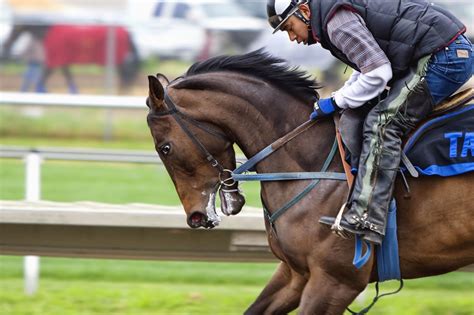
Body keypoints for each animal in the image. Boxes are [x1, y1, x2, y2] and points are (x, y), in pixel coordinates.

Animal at [0, 23, 140, 93]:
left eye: (15, 27)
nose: (6, 45)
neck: (48, 33)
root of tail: (126, 31)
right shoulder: (63, 62)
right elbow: (68, 78)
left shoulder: (54, 61)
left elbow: (42, 79)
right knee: (126, 75)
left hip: (118, 61)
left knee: (126, 75)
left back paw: (123, 92)